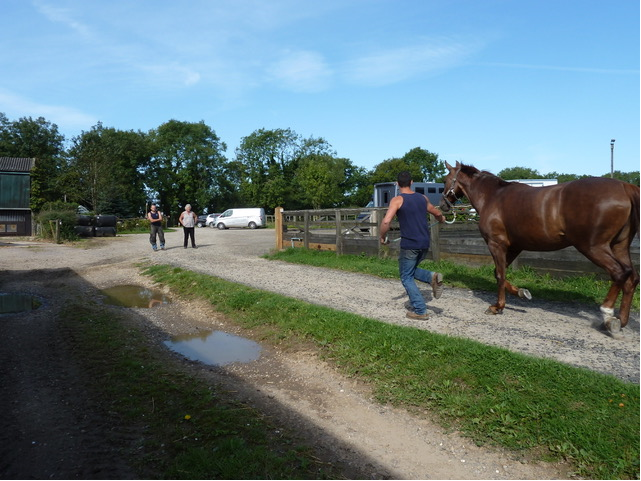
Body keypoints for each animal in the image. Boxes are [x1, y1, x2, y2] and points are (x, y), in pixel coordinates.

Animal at [439, 161, 640, 334]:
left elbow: (500, 275)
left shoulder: (496, 244)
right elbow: (498, 274)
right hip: (619, 246)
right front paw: (522, 293)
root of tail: (625, 187)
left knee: (620, 273)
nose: (443, 206)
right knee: (631, 277)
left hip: (593, 247)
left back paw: (607, 314)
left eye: (445, 179)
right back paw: (620, 321)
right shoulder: (514, 247)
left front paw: (497, 306)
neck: (492, 196)